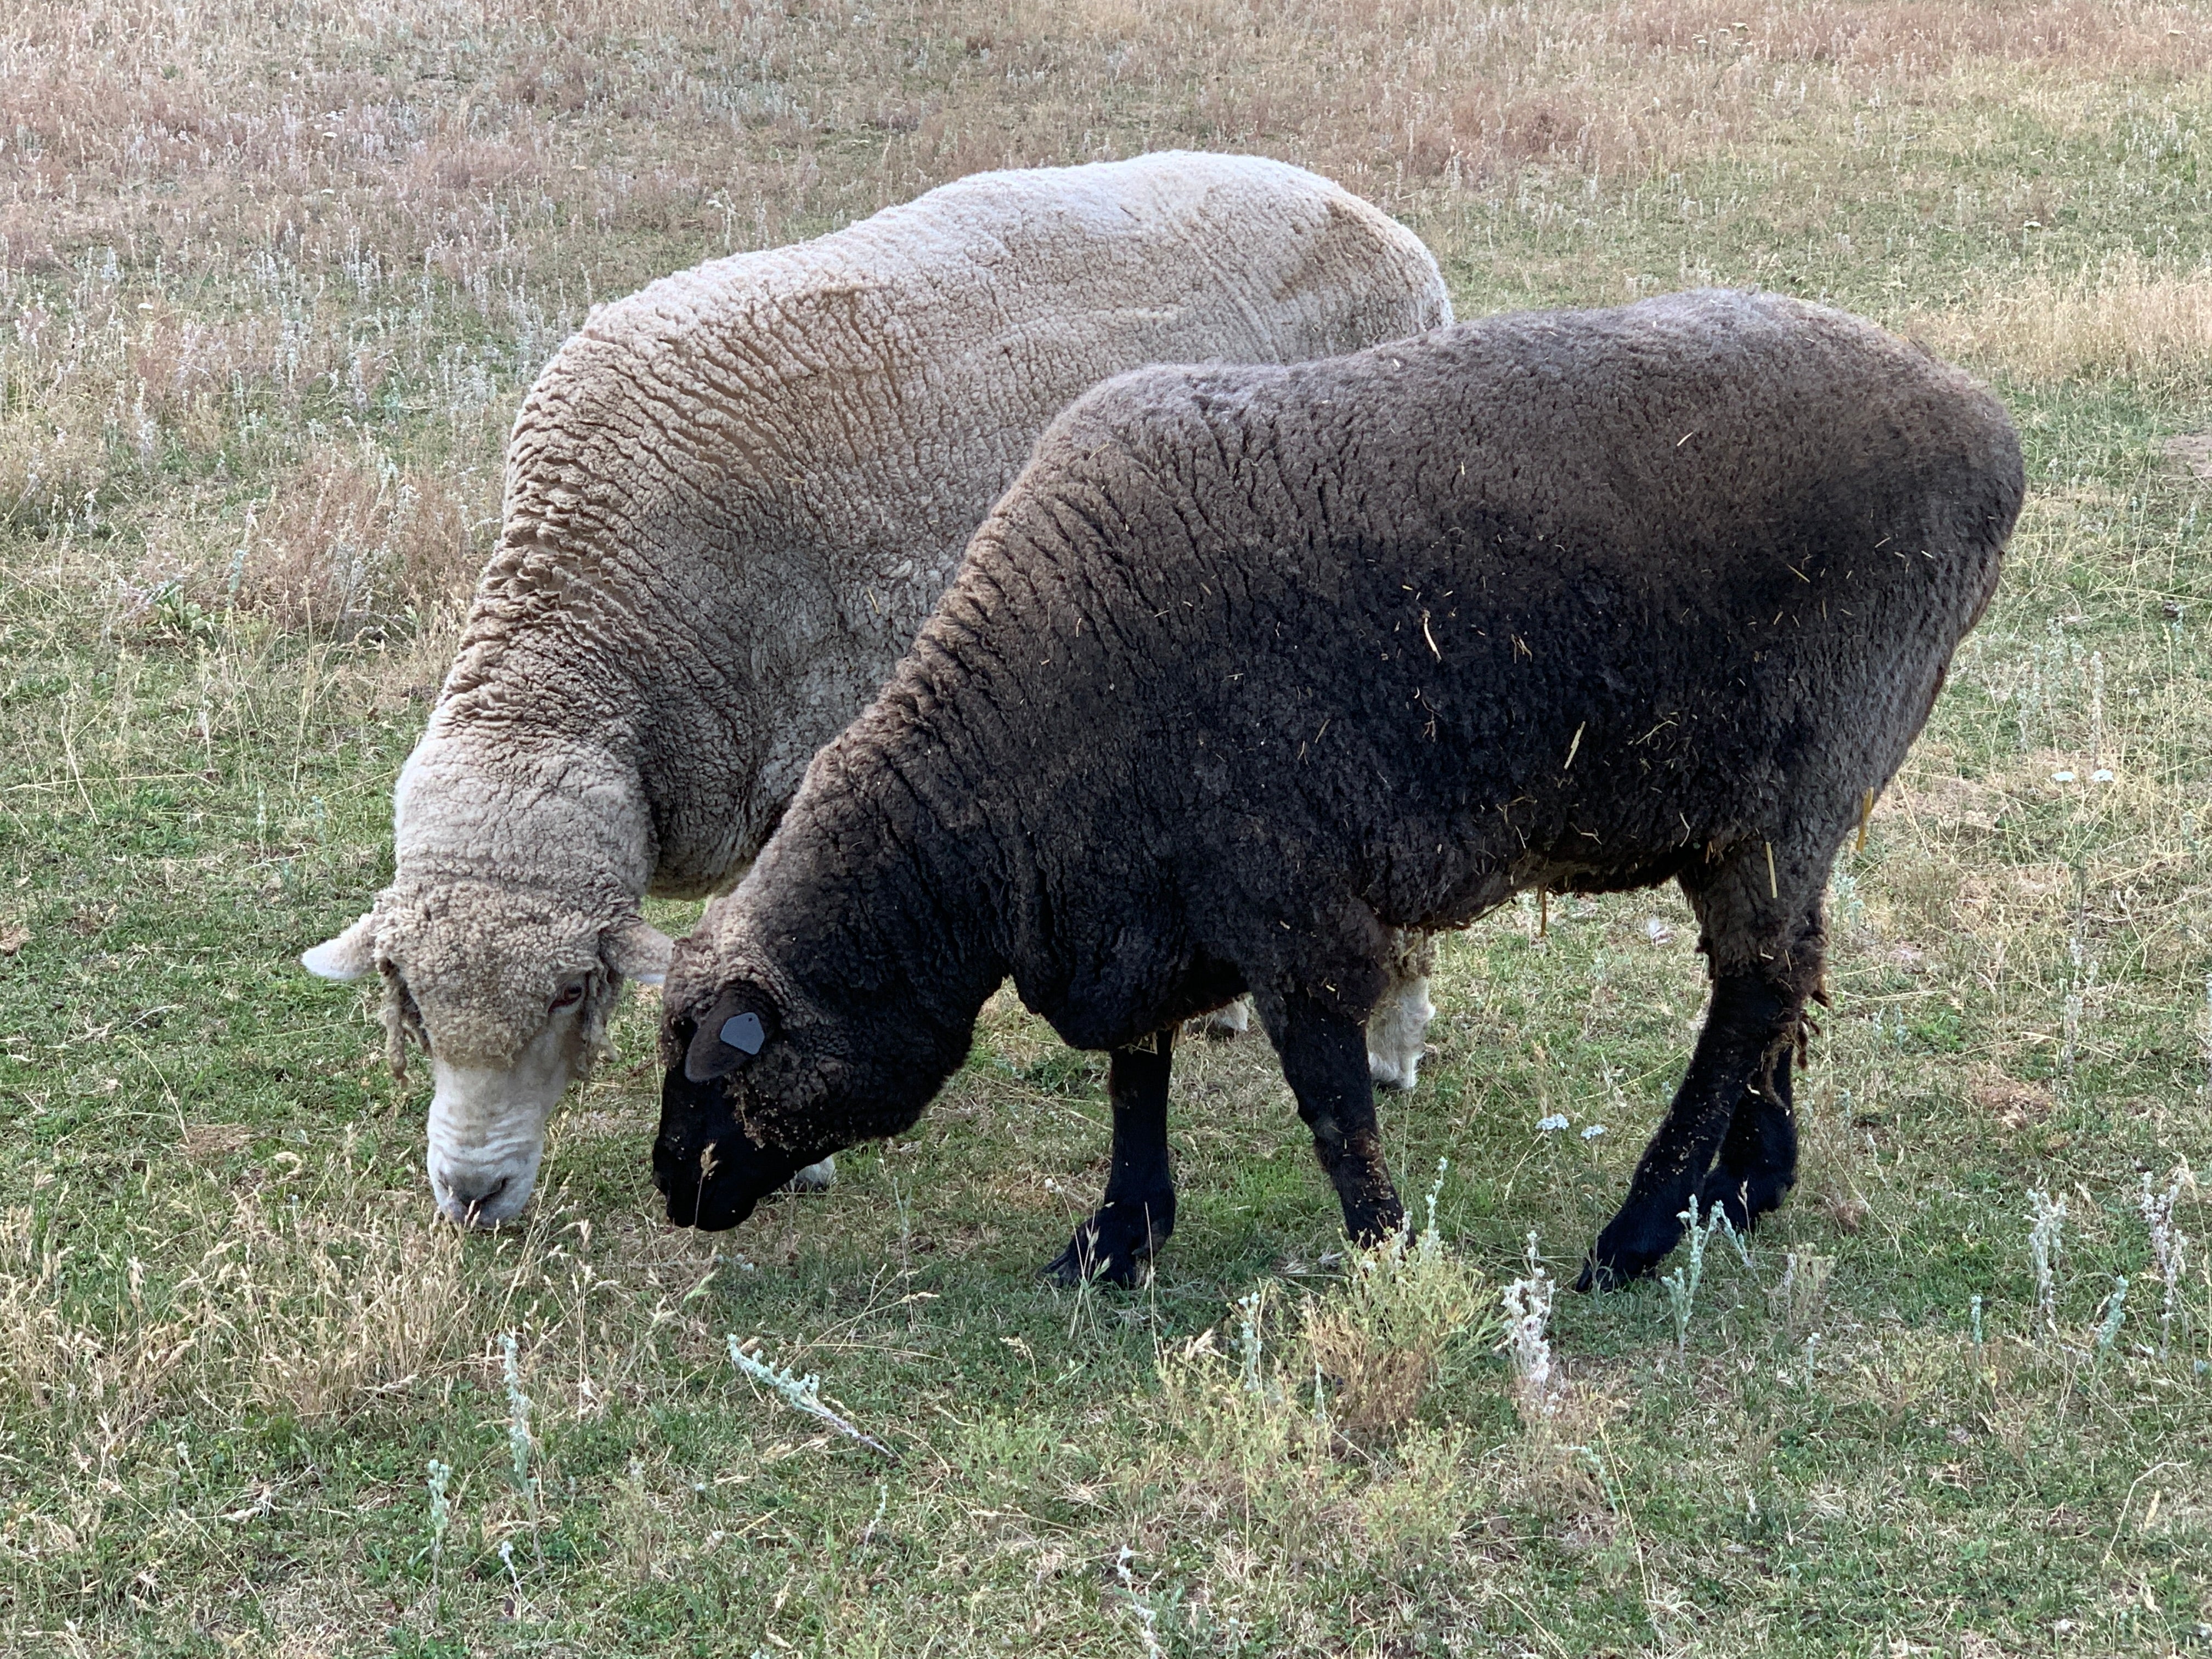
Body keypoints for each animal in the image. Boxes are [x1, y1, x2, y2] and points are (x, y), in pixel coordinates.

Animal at [300, 152, 1451, 1228]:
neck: (601, 614)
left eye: (571, 992)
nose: (472, 1194)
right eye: (411, 1004)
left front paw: (789, 1150)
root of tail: (1385, 228)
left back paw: (1391, 1041)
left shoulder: (807, 741)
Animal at [651, 288, 2023, 1290]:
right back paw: (1745, 1188)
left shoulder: (1282, 890)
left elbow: (1324, 1089)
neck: (1002, 788)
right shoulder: (1137, 896)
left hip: (1807, 764)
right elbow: (1136, 1074)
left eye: (720, 1068)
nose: (672, 1191)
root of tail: (1987, 429)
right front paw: (1117, 1237)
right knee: (1787, 975)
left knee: (1756, 987)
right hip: (1770, 806)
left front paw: (1384, 1252)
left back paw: (1641, 1231)